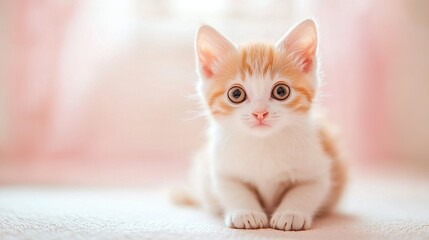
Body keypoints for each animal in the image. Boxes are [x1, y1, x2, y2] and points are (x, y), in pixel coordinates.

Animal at [176, 19, 346, 232]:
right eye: (236, 94)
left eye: (281, 91)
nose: (260, 113)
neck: (263, 143)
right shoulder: (222, 169)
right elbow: (234, 190)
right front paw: (246, 213)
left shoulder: (319, 168)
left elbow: (306, 191)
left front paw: (291, 213)